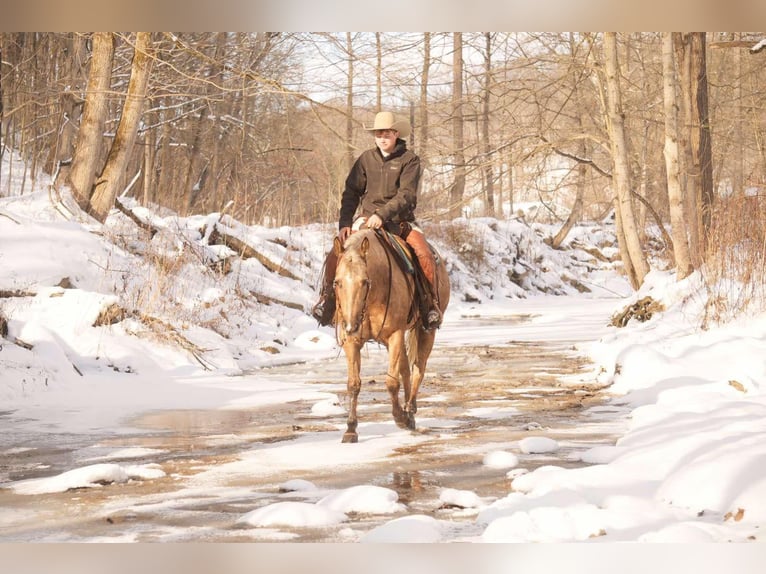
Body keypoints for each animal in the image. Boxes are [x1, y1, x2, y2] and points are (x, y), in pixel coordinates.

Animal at [330, 230, 450, 446]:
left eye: (365, 282)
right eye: (337, 282)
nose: (351, 326)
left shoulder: (395, 335)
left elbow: (391, 383)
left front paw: (400, 417)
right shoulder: (351, 341)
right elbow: (353, 384)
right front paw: (351, 429)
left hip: (425, 331)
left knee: (418, 368)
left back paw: (409, 411)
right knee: (406, 370)